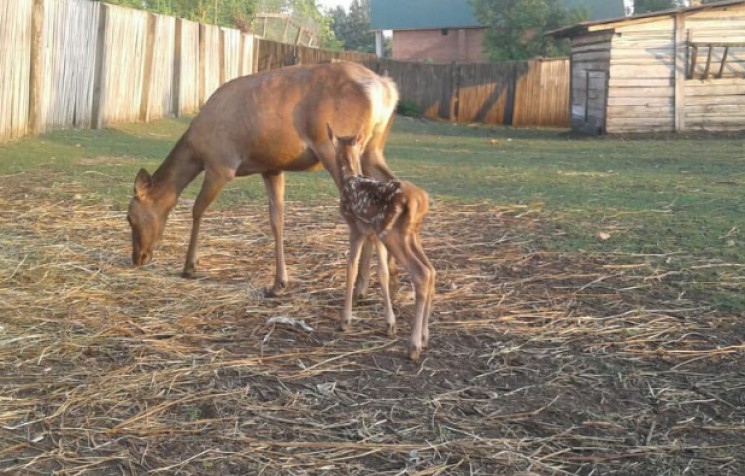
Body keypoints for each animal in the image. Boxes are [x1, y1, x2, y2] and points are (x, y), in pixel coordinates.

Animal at [126, 61, 402, 296]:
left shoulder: (221, 164)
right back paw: (389, 275)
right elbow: (276, 220)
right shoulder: (272, 168)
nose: (138, 258)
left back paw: (361, 286)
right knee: (391, 186)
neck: (196, 151)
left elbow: (197, 209)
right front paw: (279, 282)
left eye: (130, 216)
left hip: (337, 145)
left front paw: (189, 266)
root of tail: (387, 89)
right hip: (373, 148)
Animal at [326, 123, 436, 360]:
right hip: (410, 235)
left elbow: (351, 267)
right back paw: (424, 337)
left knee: (421, 273)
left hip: (392, 234)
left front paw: (345, 320)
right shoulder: (373, 234)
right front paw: (389, 323)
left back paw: (413, 346)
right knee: (431, 271)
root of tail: (421, 201)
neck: (350, 179)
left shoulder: (356, 228)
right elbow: (382, 272)